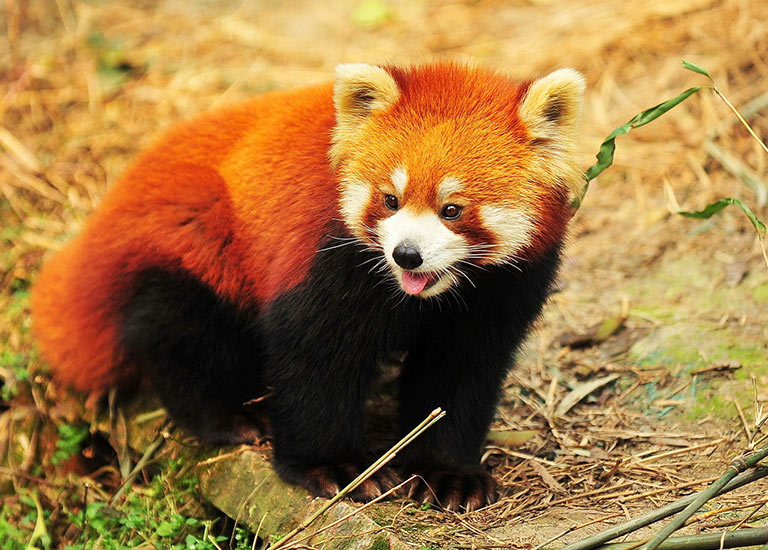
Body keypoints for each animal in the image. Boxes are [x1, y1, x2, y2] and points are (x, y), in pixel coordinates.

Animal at [30, 63, 584, 512]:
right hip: (195, 242)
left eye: (453, 209)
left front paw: (448, 473)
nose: (406, 254)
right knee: (176, 328)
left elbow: (461, 373)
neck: (422, 296)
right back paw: (225, 415)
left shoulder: (502, 288)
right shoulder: (326, 258)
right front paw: (334, 467)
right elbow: (315, 360)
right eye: (390, 199)